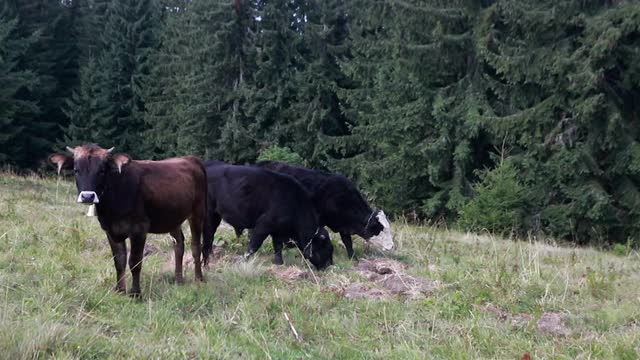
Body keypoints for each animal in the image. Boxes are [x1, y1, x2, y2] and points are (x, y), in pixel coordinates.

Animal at [204, 164, 336, 270]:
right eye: (326, 247)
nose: (329, 265)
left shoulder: (277, 231)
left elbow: (277, 247)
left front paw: (279, 263)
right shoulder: (263, 226)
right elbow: (254, 245)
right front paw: (243, 260)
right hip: (211, 215)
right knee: (209, 234)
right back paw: (210, 255)